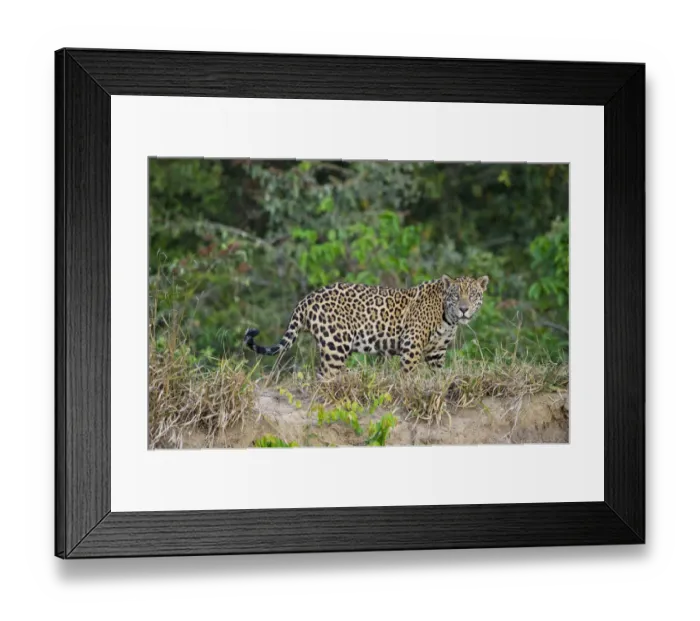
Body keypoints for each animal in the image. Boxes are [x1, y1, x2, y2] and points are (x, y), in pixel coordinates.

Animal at [244, 274, 489, 377]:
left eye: (473, 295)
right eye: (456, 295)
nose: (464, 309)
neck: (448, 319)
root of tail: (306, 299)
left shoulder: (437, 351)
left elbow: (439, 374)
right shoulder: (412, 342)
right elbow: (408, 371)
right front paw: (408, 386)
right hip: (336, 343)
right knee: (325, 374)